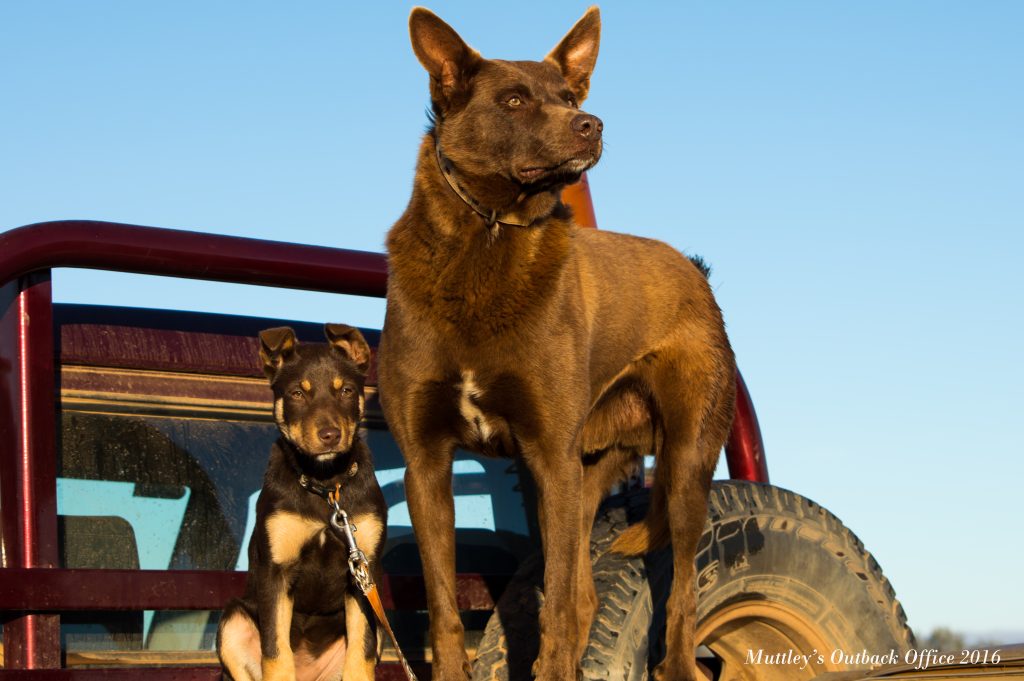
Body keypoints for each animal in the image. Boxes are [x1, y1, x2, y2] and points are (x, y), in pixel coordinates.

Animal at [218, 323, 385, 679]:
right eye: (297, 393)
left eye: (346, 390)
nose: (330, 435)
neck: (326, 485)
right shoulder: (276, 570)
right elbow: (275, 651)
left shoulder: (365, 572)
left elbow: (361, 650)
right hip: (233, 620)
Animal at [376, 6, 737, 679]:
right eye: (514, 100)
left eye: (570, 98)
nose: (592, 124)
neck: (489, 237)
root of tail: (693, 270)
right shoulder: (427, 464)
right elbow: (444, 607)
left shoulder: (550, 454)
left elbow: (560, 610)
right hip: (577, 471)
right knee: (584, 591)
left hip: (683, 463)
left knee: (677, 593)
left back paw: (676, 660)